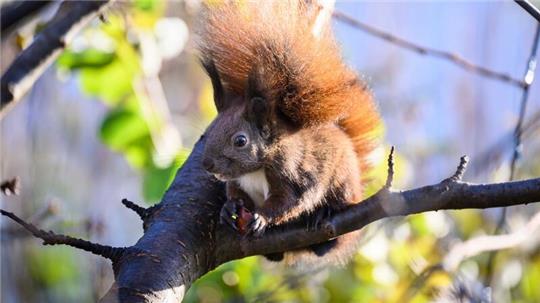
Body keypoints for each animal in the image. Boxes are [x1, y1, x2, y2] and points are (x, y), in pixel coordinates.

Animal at [197, 0, 380, 266]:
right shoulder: (238, 181)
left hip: (343, 182)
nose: (207, 165)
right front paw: (229, 208)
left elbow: (289, 201)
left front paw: (261, 217)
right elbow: (236, 193)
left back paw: (324, 214)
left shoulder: (291, 173)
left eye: (240, 141)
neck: (255, 169)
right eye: (209, 131)